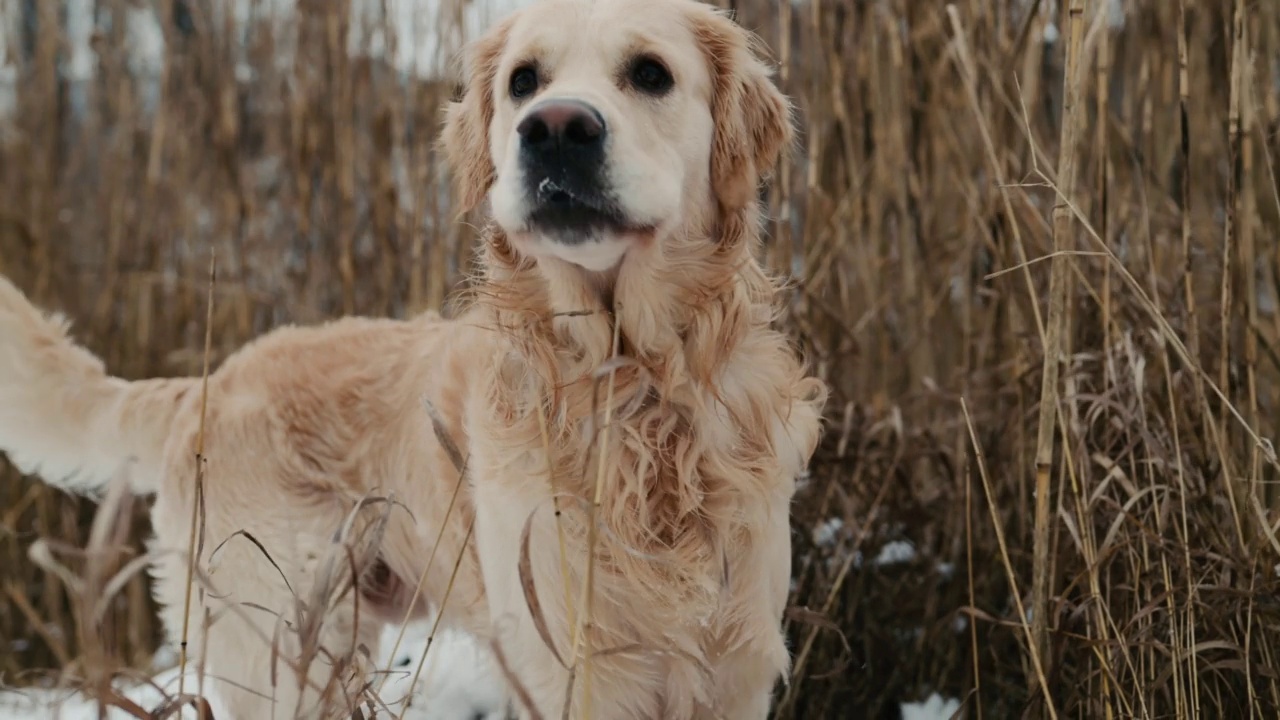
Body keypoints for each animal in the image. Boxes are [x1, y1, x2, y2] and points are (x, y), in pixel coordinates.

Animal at [0, 2, 829, 712]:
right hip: (290, 646)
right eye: (523, 80)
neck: (633, 384)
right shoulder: (569, 666)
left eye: (651, 73)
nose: (555, 128)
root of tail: (206, 383)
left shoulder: (736, 665)